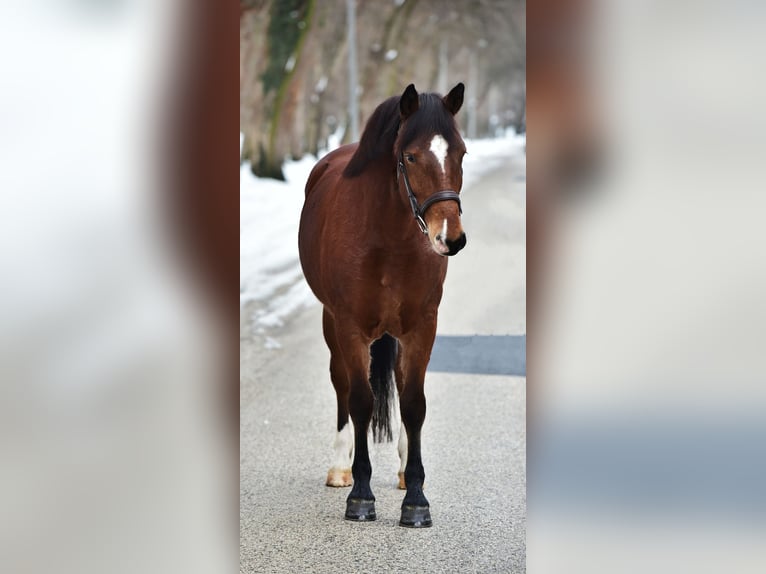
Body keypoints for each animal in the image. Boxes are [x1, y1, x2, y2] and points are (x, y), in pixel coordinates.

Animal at [298, 83, 467, 528]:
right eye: (410, 156)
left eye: (461, 153)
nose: (451, 237)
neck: (388, 238)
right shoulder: (350, 326)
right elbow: (360, 400)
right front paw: (360, 494)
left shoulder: (422, 327)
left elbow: (413, 404)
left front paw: (417, 499)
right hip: (331, 324)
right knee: (341, 386)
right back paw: (340, 467)